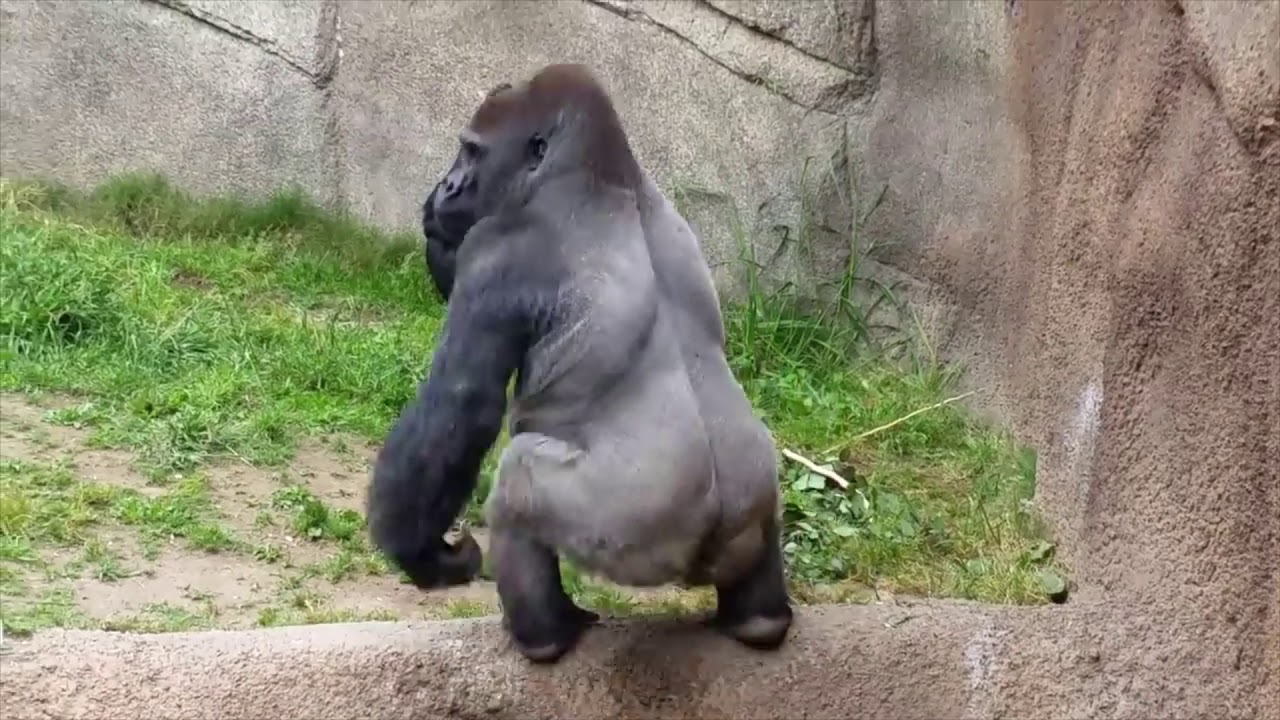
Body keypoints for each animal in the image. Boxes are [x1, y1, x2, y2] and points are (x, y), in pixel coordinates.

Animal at [368, 63, 793, 664]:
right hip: (758, 493)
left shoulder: (495, 251)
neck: (604, 175)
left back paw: (544, 636)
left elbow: (462, 407)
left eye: (472, 153)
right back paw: (760, 620)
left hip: (631, 528)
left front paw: (423, 554)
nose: (448, 186)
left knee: (518, 480)